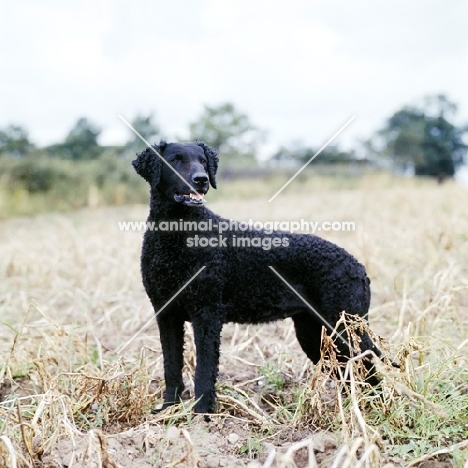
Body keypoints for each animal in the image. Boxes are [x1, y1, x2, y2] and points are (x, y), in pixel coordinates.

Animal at [132, 140, 380, 414]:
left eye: (203, 161)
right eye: (175, 159)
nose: (201, 179)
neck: (177, 236)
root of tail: (359, 268)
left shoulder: (207, 314)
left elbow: (204, 370)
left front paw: (202, 414)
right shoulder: (166, 314)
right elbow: (171, 365)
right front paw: (167, 409)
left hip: (345, 327)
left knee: (369, 371)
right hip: (313, 332)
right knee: (349, 373)